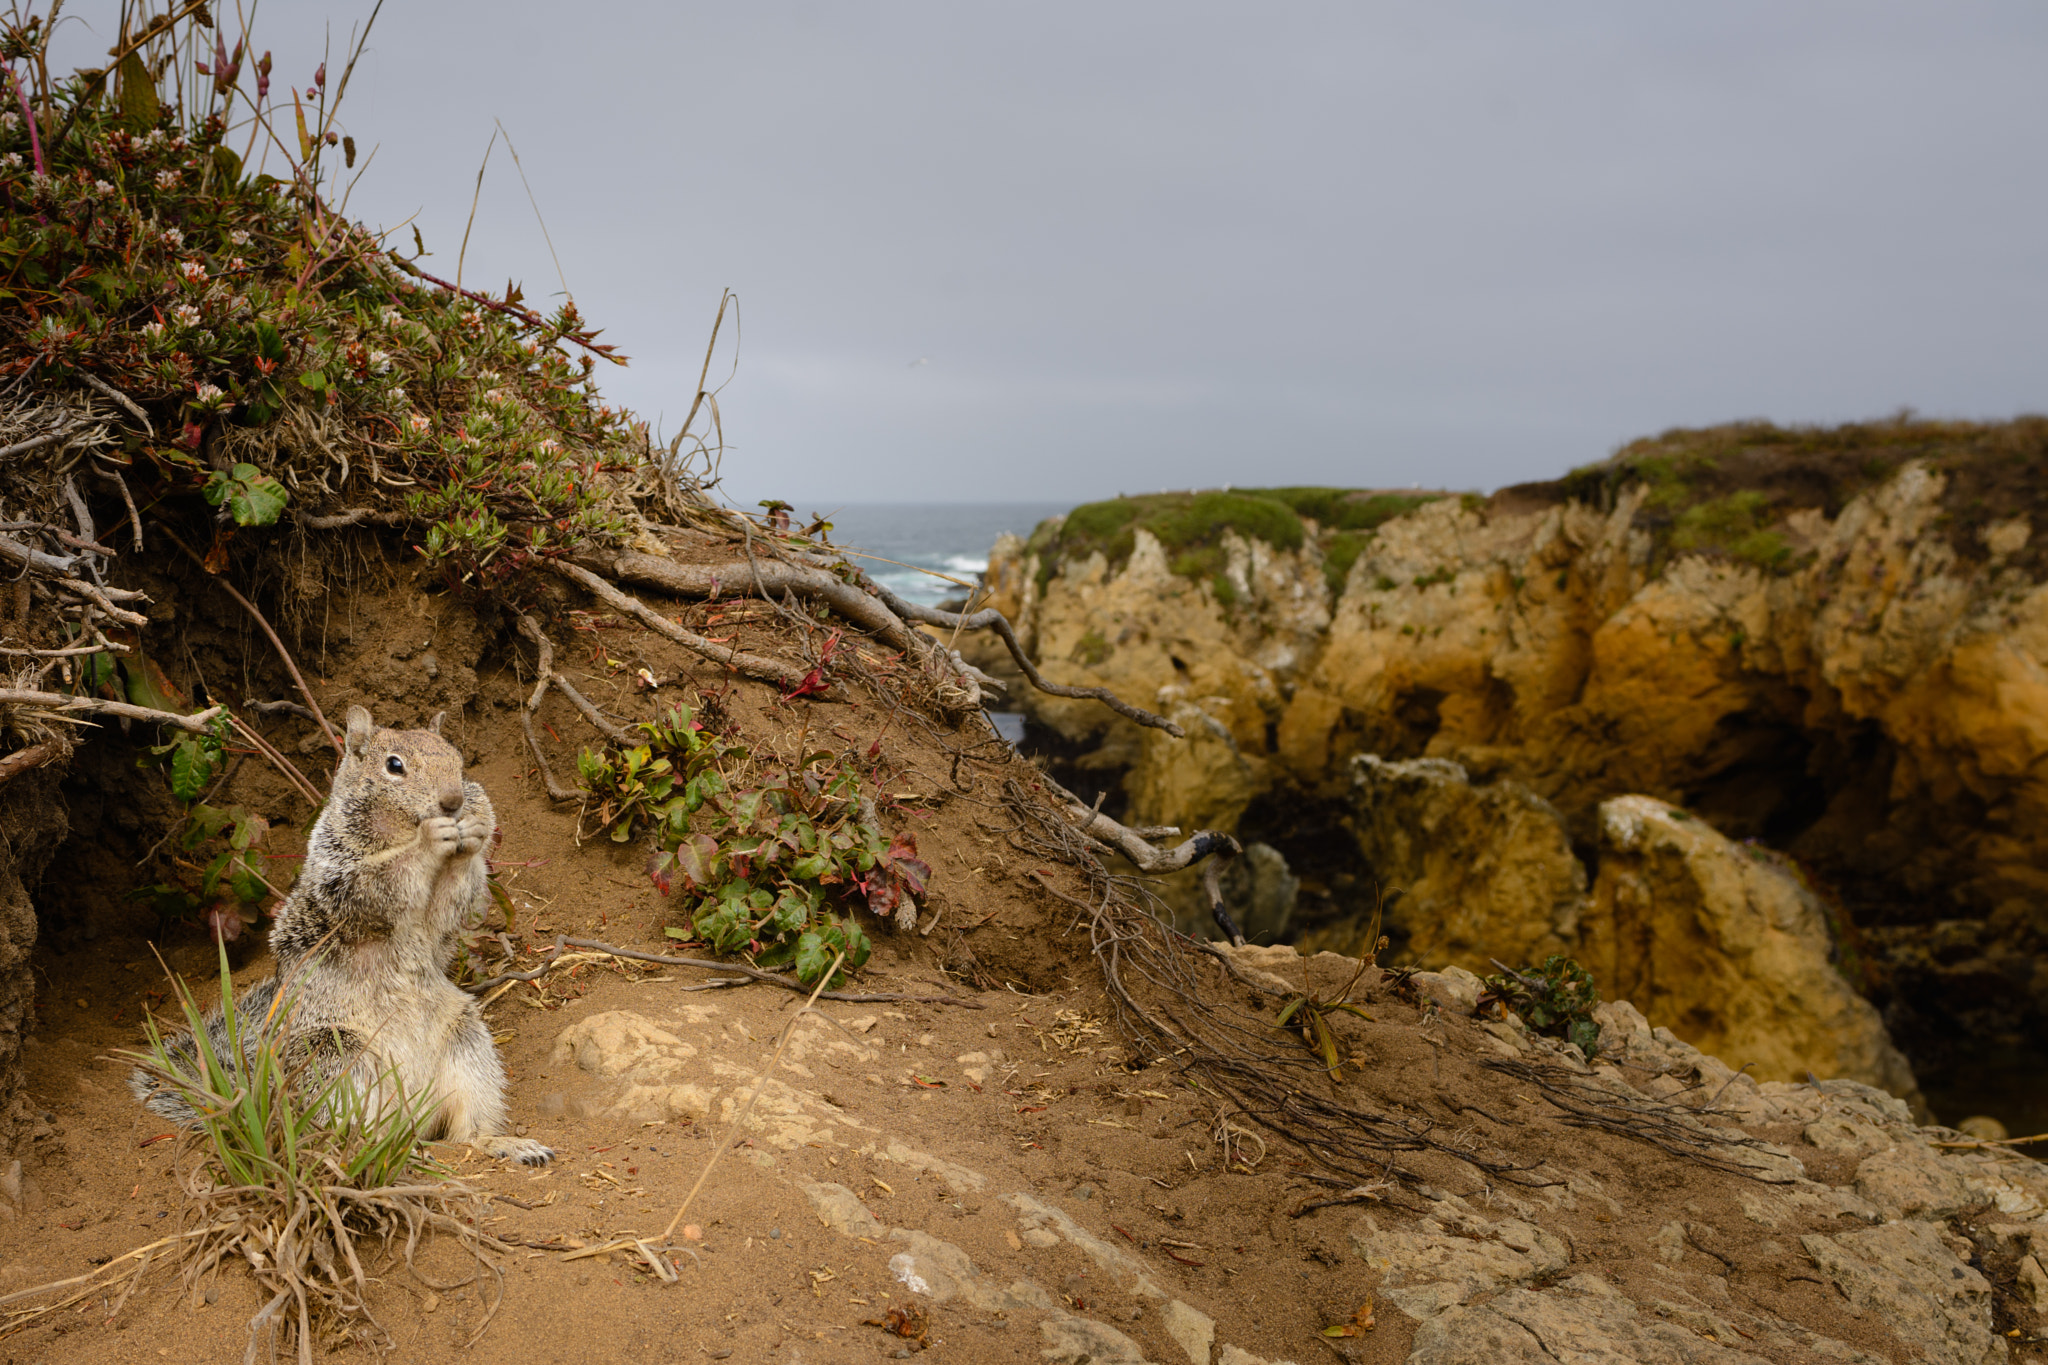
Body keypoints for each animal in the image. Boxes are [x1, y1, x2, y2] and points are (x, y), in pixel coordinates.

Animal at [130, 705, 554, 1166]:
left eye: (459, 761)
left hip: (467, 1046)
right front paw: (428, 841)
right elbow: (380, 885)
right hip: (336, 1060)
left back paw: (502, 1143)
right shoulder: (339, 875)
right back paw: (386, 1151)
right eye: (394, 766)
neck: (398, 830)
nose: (453, 802)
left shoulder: (437, 916)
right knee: (352, 1132)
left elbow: (452, 908)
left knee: (466, 1130)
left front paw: (475, 829)